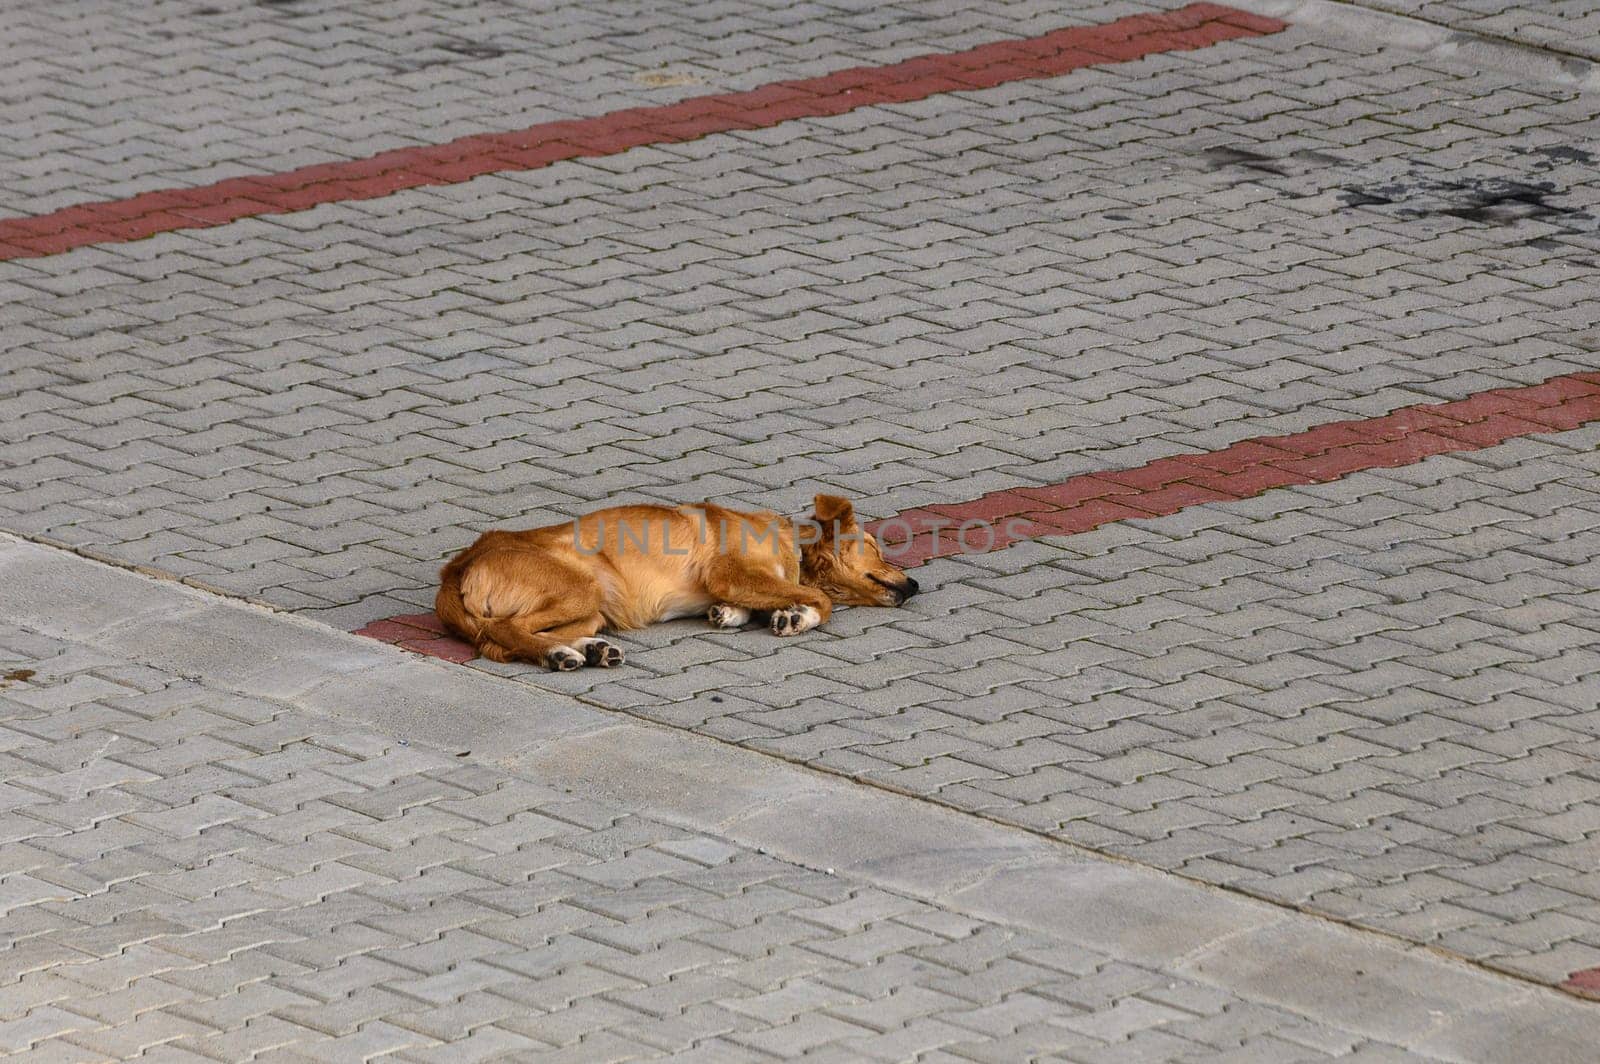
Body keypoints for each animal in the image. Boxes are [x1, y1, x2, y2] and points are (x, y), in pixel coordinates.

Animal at [435, 496, 915, 665]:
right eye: (874, 546)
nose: (915, 586)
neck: (790, 546)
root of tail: (455, 568)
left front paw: (737, 613)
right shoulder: (728, 573)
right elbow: (821, 599)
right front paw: (796, 615)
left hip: (593, 605)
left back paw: (591, 649)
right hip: (582, 586)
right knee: (503, 631)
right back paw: (559, 655)